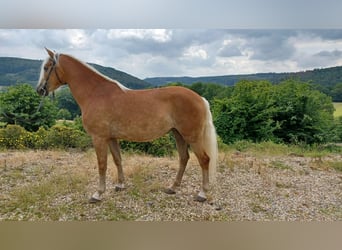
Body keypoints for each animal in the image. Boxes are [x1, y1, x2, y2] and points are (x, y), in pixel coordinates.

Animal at [36, 47, 216, 202]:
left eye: (46, 67)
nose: (39, 90)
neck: (96, 94)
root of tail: (200, 98)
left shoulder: (99, 138)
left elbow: (102, 164)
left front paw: (98, 194)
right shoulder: (111, 138)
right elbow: (117, 159)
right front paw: (120, 185)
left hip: (192, 136)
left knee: (204, 160)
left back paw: (202, 193)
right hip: (178, 134)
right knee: (184, 158)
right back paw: (172, 187)